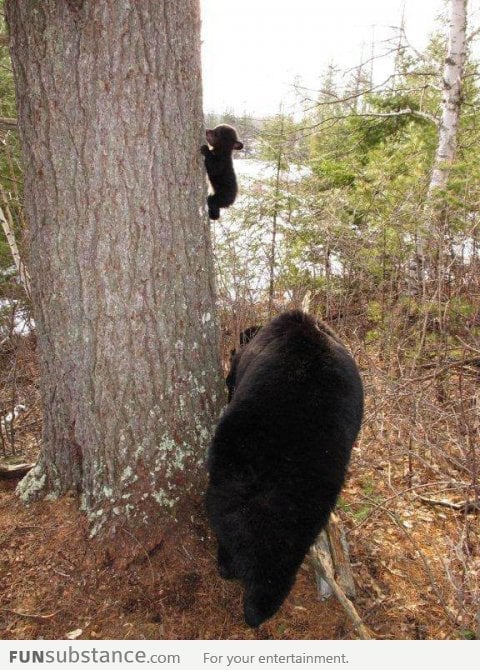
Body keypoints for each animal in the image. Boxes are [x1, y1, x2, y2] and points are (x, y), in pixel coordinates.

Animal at [206, 312, 364, 628]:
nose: (231, 350)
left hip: (232, 472)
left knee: (227, 524)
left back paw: (232, 571)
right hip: (309, 502)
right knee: (282, 554)